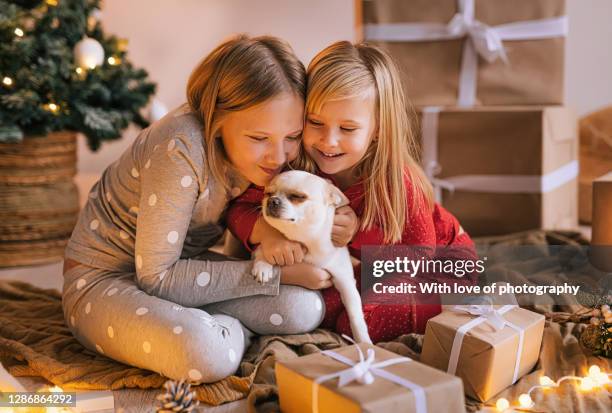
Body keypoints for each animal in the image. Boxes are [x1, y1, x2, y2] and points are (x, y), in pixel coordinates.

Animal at [250, 169, 372, 342]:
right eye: (268, 194)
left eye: (297, 196)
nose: (272, 200)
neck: (306, 240)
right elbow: (262, 250)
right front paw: (263, 266)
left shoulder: (346, 281)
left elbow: (355, 316)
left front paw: (364, 342)